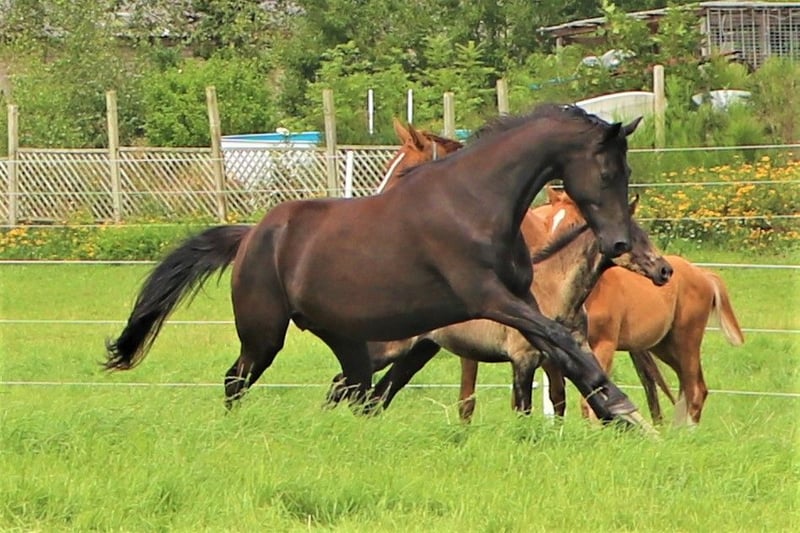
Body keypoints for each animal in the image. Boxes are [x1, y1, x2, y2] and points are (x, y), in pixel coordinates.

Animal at [104, 104, 648, 426]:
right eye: (607, 171)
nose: (618, 241)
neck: (476, 203)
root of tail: (252, 235)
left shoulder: (520, 302)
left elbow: (559, 348)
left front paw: (614, 409)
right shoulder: (489, 297)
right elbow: (555, 342)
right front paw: (621, 407)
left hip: (347, 341)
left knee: (355, 392)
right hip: (265, 335)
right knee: (237, 379)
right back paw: (236, 429)